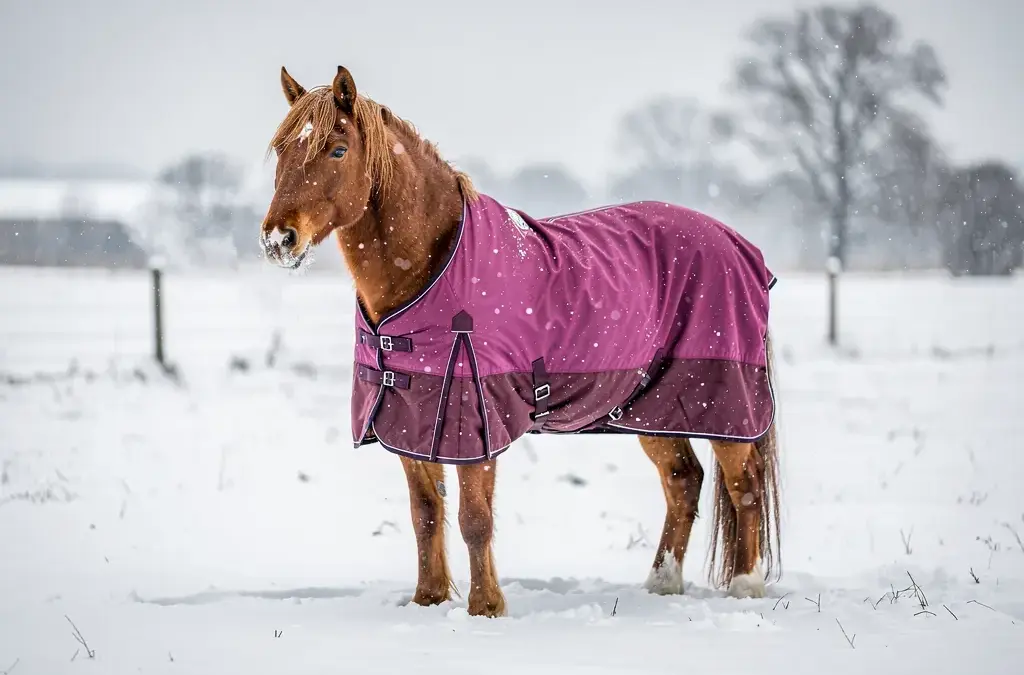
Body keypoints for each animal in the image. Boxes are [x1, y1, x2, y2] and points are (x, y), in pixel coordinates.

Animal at [259, 65, 782, 618]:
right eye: (282, 149)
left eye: (337, 149)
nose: (278, 239)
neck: (432, 268)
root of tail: (740, 247)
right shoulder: (408, 417)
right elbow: (425, 514)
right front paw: (428, 600)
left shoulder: (476, 420)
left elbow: (474, 519)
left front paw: (486, 608)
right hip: (653, 408)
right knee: (683, 480)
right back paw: (662, 584)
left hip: (724, 403)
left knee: (743, 485)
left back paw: (745, 588)